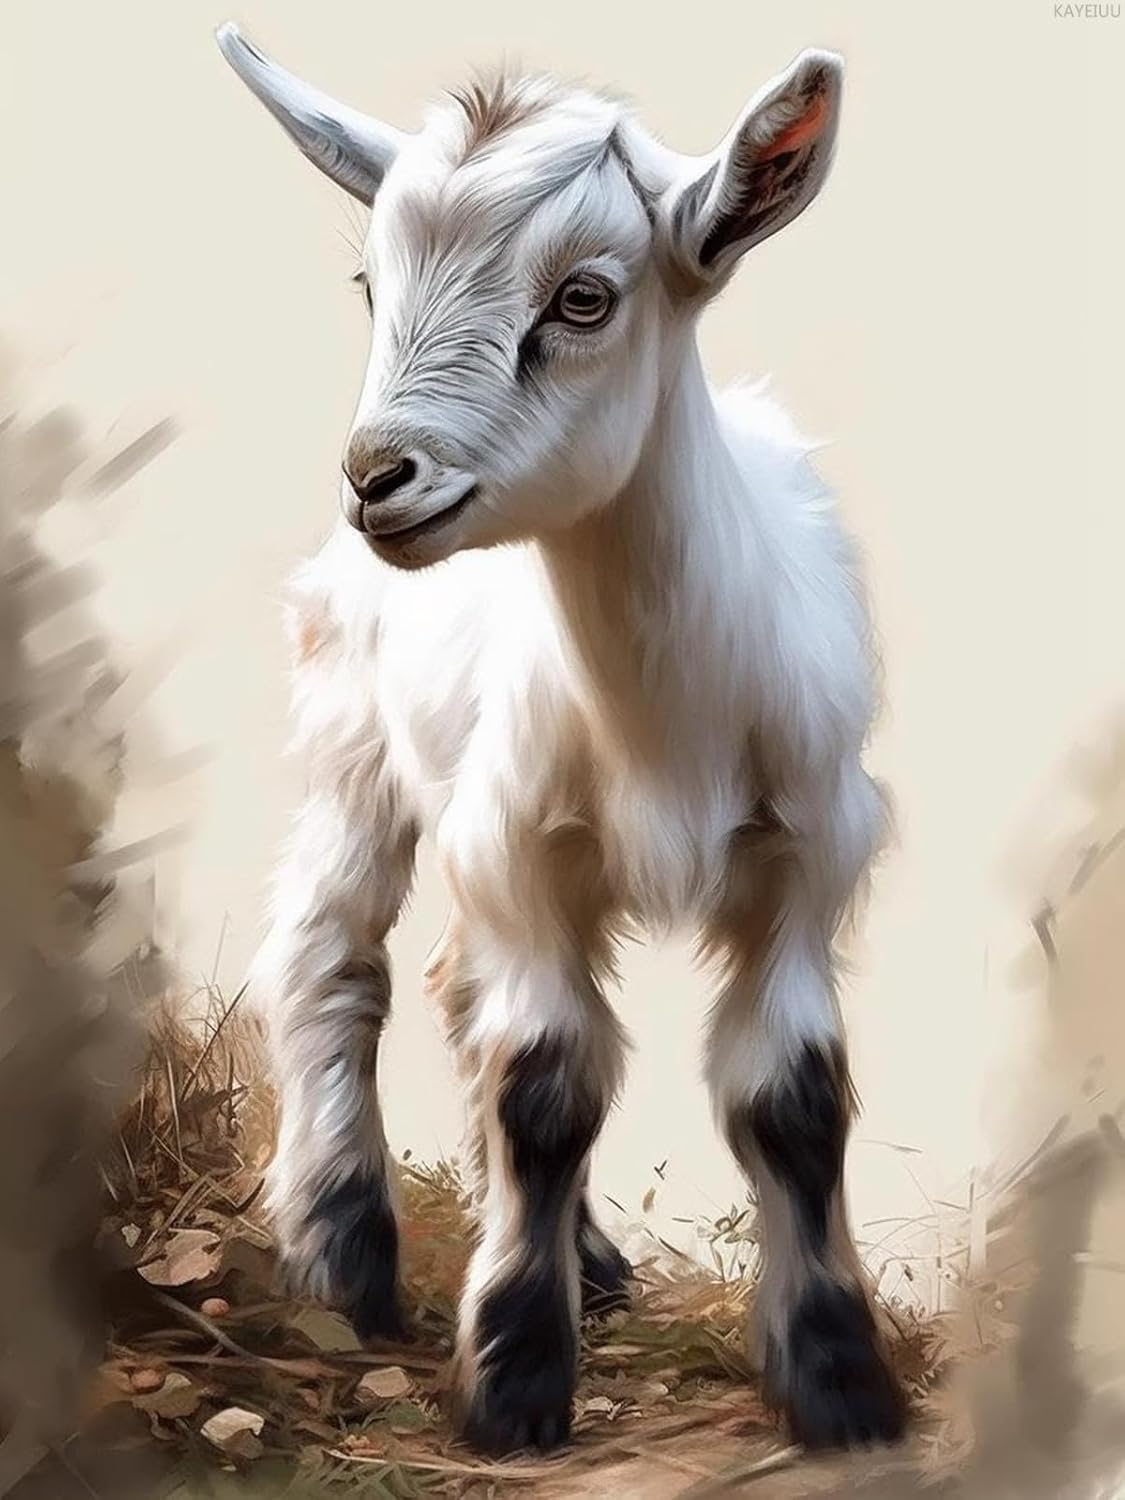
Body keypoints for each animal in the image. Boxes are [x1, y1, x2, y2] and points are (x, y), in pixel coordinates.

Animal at [217, 24, 907, 1456]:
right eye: (370, 281)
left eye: (583, 300)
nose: (380, 476)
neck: (663, 725)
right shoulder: (519, 846)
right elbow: (545, 1084)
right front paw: (515, 1385)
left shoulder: (810, 855)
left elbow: (794, 1098)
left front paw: (841, 1384)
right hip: (351, 743)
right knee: (332, 957)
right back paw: (342, 1256)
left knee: (454, 990)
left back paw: (583, 1259)